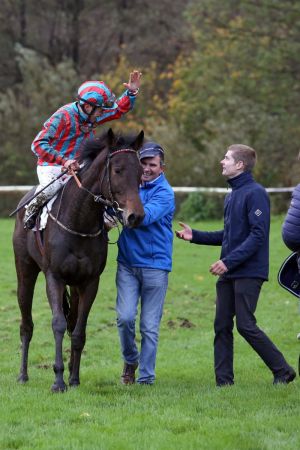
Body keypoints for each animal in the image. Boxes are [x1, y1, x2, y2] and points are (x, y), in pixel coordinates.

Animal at [12, 128, 145, 392]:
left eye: (141, 171)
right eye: (117, 170)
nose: (135, 216)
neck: (79, 222)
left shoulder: (89, 281)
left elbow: (79, 330)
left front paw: (73, 378)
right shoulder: (54, 277)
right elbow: (58, 324)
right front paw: (58, 380)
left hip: (73, 285)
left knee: (72, 322)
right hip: (25, 271)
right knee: (26, 324)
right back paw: (23, 375)